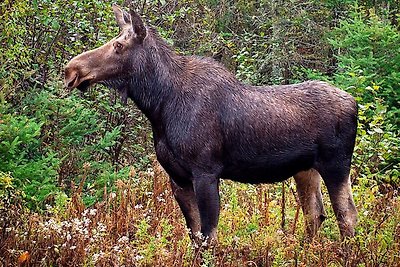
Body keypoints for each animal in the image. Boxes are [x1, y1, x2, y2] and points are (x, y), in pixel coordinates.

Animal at [64, 4, 358, 247]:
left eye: (118, 46)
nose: (71, 70)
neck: (159, 106)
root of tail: (355, 103)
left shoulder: (205, 172)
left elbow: (208, 237)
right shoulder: (178, 178)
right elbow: (195, 236)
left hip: (336, 164)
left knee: (347, 216)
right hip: (305, 169)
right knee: (316, 214)